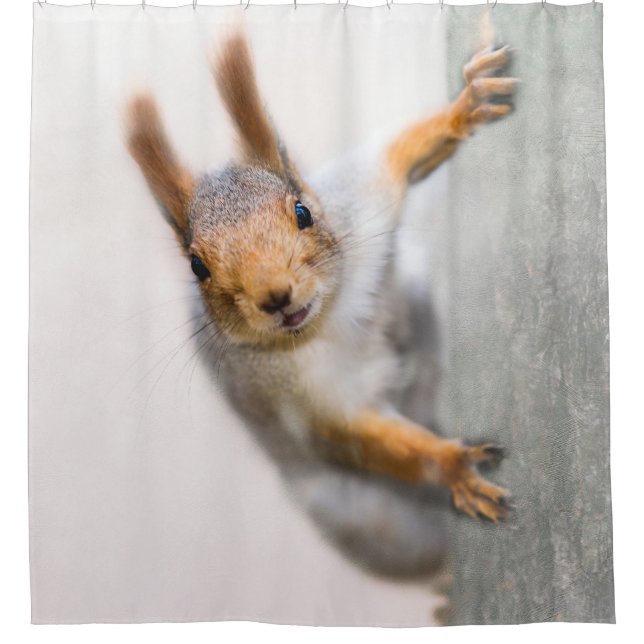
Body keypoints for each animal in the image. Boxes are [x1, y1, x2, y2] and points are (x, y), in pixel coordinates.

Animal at [126, 32, 516, 576]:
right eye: (197, 266)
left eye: (303, 211)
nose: (275, 296)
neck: (328, 318)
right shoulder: (306, 399)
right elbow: (358, 436)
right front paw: (454, 466)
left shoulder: (362, 196)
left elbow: (399, 151)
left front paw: (467, 105)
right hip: (370, 521)